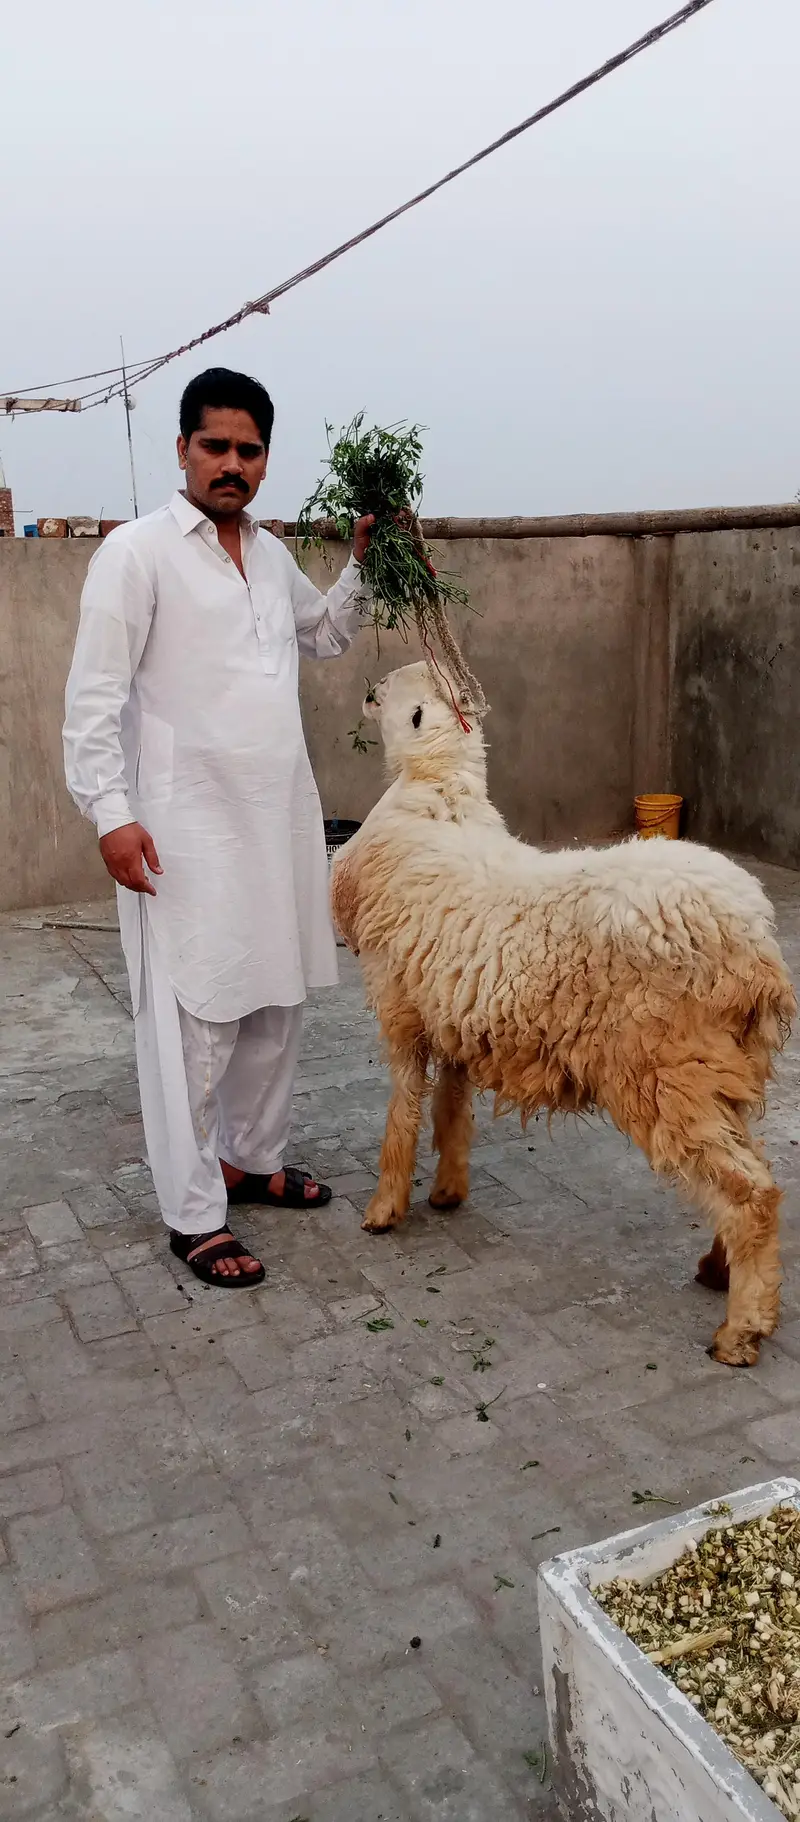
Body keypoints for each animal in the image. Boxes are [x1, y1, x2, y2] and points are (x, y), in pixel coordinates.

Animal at [331, 661, 796, 1368]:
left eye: (391, 689)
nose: (364, 688)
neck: (438, 791)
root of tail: (754, 943)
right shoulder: (457, 1009)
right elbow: (451, 1105)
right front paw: (448, 1190)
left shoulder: (400, 1005)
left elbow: (404, 1109)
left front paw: (386, 1208)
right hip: (721, 1065)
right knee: (751, 1165)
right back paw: (720, 1272)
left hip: (664, 1068)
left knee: (751, 1191)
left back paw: (740, 1330)